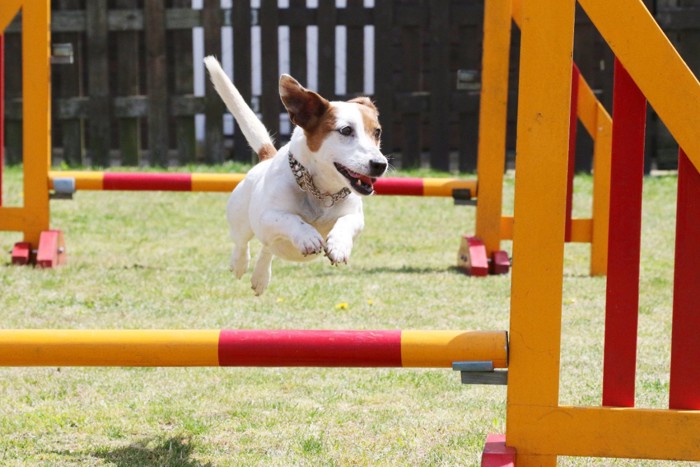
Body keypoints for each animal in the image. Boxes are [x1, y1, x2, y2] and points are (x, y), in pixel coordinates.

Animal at [202, 55, 388, 296]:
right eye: (346, 130)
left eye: (377, 132)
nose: (380, 165)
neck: (321, 191)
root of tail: (266, 158)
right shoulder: (268, 216)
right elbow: (290, 219)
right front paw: (307, 236)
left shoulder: (355, 216)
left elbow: (347, 221)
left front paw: (338, 245)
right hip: (241, 220)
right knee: (242, 243)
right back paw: (239, 264)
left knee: (267, 248)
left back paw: (260, 277)